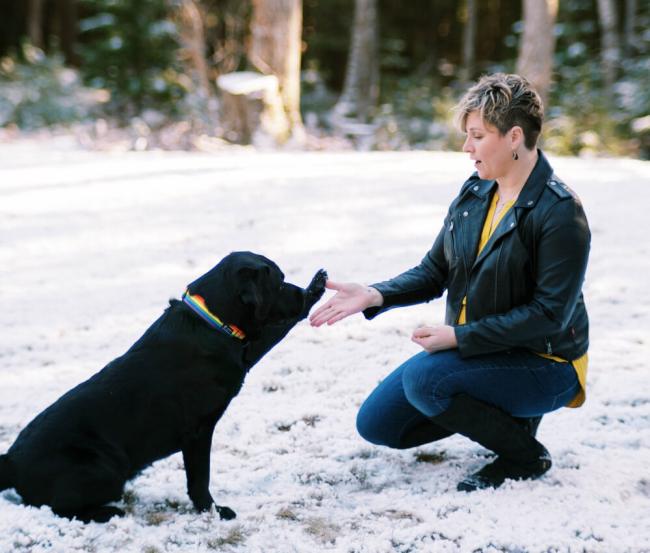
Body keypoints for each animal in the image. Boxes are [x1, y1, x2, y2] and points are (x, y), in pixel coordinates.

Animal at [0, 251, 324, 520]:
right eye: (279, 283)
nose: (298, 291)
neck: (210, 320)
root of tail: (11, 462)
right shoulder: (198, 430)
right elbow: (199, 478)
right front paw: (213, 511)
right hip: (104, 468)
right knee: (58, 508)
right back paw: (109, 512)